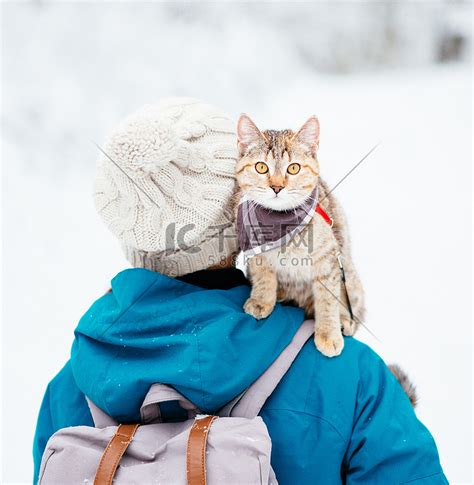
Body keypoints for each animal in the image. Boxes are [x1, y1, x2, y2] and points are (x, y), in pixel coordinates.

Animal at [235, 113, 364, 356]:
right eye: (261, 167)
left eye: (293, 168)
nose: (277, 187)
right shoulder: (257, 253)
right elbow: (264, 277)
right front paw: (262, 300)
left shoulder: (329, 261)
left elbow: (328, 300)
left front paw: (328, 332)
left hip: (350, 276)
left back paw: (343, 321)